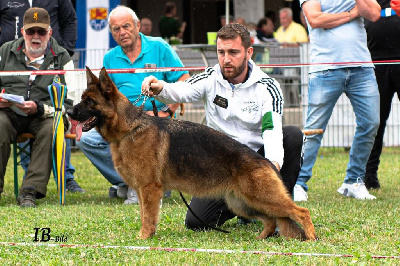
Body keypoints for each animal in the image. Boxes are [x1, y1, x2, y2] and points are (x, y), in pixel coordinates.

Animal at [67, 67, 316, 241]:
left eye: (90, 101)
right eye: (81, 99)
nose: (68, 112)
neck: (129, 128)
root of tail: (265, 162)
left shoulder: (149, 189)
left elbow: (148, 217)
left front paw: (144, 238)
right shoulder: (141, 191)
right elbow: (145, 215)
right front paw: (146, 236)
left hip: (262, 198)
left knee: (301, 212)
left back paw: (311, 238)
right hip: (243, 203)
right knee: (272, 221)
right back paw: (262, 238)